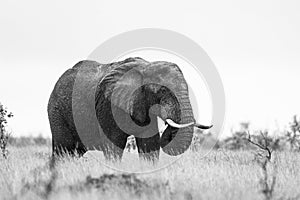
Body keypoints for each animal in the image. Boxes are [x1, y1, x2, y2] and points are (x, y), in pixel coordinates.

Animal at [48, 57, 212, 162]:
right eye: (162, 91)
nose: (168, 128)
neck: (145, 67)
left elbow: (150, 145)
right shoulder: (108, 104)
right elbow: (113, 145)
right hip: (56, 111)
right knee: (62, 150)